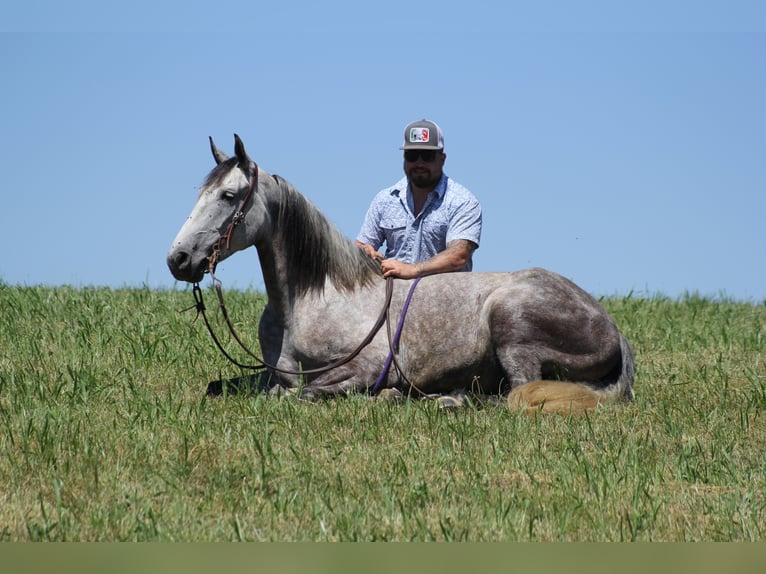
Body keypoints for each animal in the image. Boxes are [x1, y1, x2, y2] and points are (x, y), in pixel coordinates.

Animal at [166, 135, 636, 414]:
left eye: (229, 196)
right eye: (202, 192)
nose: (179, 259)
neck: (309, 301)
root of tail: (613, 328)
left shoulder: (362, 369)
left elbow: (303, 393)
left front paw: (388, 393)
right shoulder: (272, 371)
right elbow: (224, 386)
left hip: (512, 325)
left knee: (514, 395)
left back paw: (445, 399)